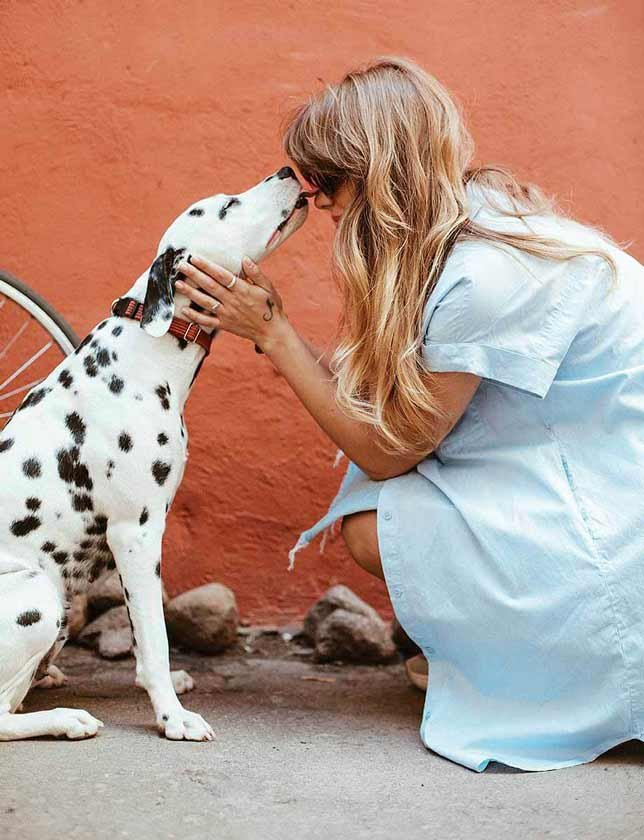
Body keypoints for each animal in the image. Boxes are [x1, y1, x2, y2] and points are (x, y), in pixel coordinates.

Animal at [0, 166, 310, 740]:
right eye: (227, 207)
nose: (284, 170)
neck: (145, 350)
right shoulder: (136, 535)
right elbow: (156, 640)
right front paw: (173, 716)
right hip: (37, 594)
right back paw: (66, 718)